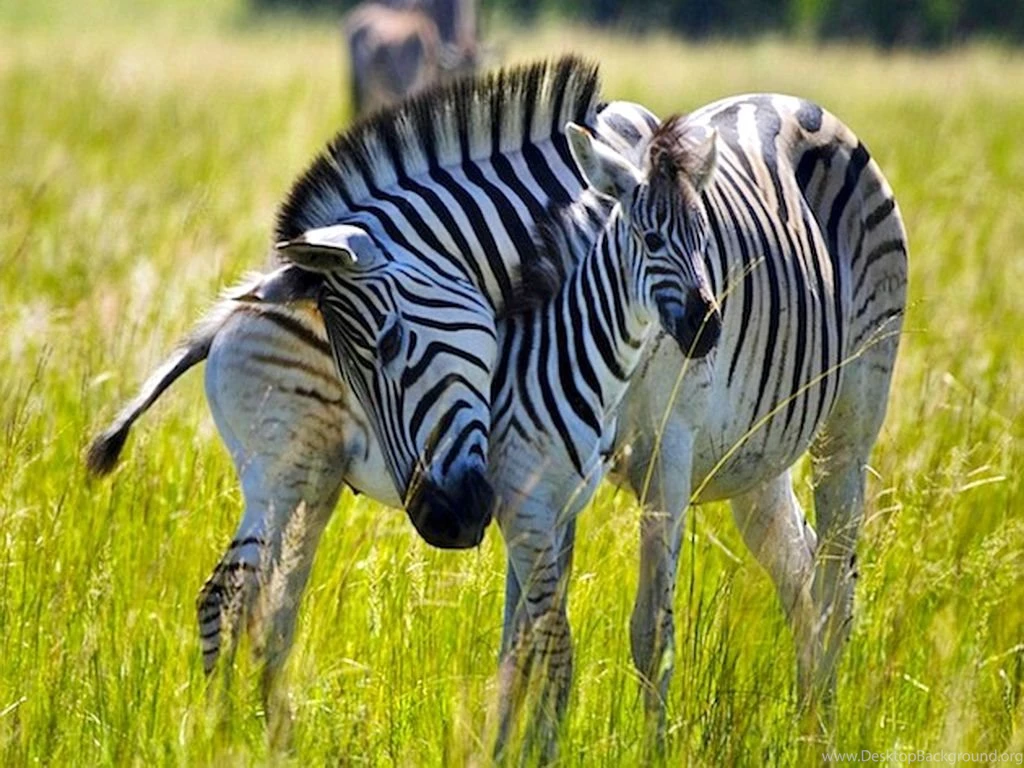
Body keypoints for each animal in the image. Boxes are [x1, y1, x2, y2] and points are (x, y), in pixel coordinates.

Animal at [488, 116, 720, 760]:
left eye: (707, 238)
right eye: (650, 238)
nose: (708, 327)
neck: (559, 357)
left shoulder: (554, 511)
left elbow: (523, 646)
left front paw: (507, 751)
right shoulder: (524, 508)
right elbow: (553, 651)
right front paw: (541, 754)